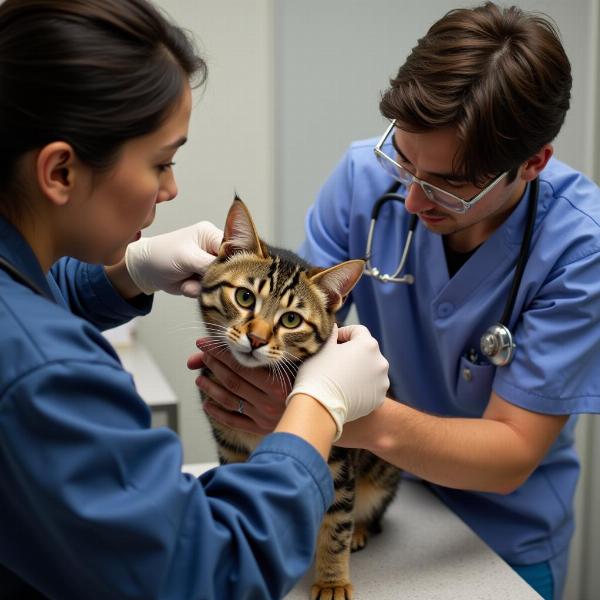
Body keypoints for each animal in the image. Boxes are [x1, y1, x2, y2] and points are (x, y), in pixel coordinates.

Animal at [199, 198, 400, 600]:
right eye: (244, 297)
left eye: (291, 320)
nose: (256, 339)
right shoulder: (230, 447)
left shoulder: (338, 464)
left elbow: (336, 523)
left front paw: (332, 580)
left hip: (382, 474)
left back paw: (360, 530)